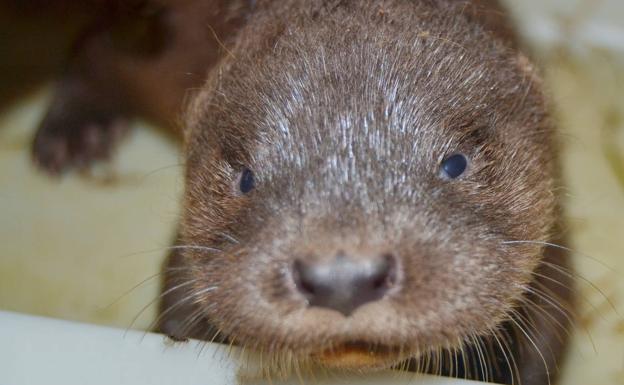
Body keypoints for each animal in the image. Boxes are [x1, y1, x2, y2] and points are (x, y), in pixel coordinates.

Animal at [33, 0, 572, 384]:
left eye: (455, 163)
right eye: (247, 178)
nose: (343, 277)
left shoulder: (552, 254)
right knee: (97, 48)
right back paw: (72, 132)